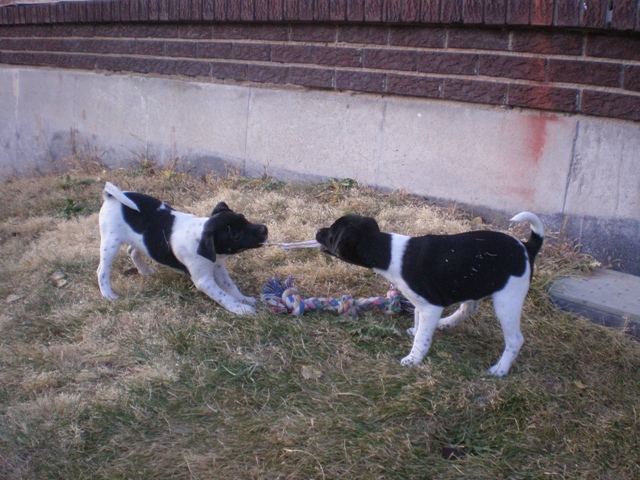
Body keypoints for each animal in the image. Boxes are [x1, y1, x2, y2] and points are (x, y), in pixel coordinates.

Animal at [97, 181, 268, 316]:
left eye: (243, 218)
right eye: (236, 235)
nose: (265, 229)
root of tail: (111, 197)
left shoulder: (218, 267)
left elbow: (230, 286)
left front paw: (244, 299)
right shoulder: (204, 281)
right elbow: (224, 296)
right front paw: (240, 308)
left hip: (139, 240)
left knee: (132, 251)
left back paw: (144, 271)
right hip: (110, 242)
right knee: (102, 271)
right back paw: (108, 295)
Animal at [316, 212, 544, 376]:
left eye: (331, 232)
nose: (317, 230)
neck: (387, 251)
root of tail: (526, 247)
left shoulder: (430, 306)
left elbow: (422, 337)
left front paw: (414, 358)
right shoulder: (420, 305)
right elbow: (419, 325)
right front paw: (416, 334)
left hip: (508, 300)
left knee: (515, 340)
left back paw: (500, 369)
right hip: (473, 284)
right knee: (469, 308)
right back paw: (445, 323)